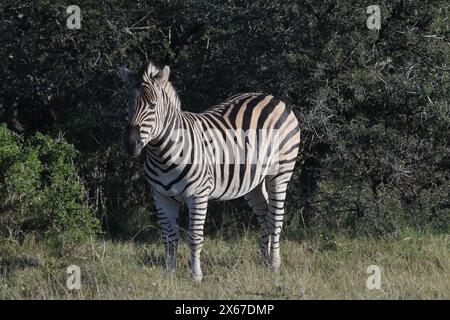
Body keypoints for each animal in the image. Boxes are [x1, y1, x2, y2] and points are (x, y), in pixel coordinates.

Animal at [119, 61, 300, 282]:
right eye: (127, 106)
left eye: (152, 106)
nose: (131, 144)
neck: (163, 153)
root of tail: (271, 97)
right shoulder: (161, 197)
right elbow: (169, 237)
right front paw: (170, 275)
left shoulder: (198, 195)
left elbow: (195, 237)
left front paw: (196, 276)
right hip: (253, 181)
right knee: (265, 212)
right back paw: (263, 260)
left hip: (280, 173)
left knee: (275, 218)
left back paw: (274, 264)